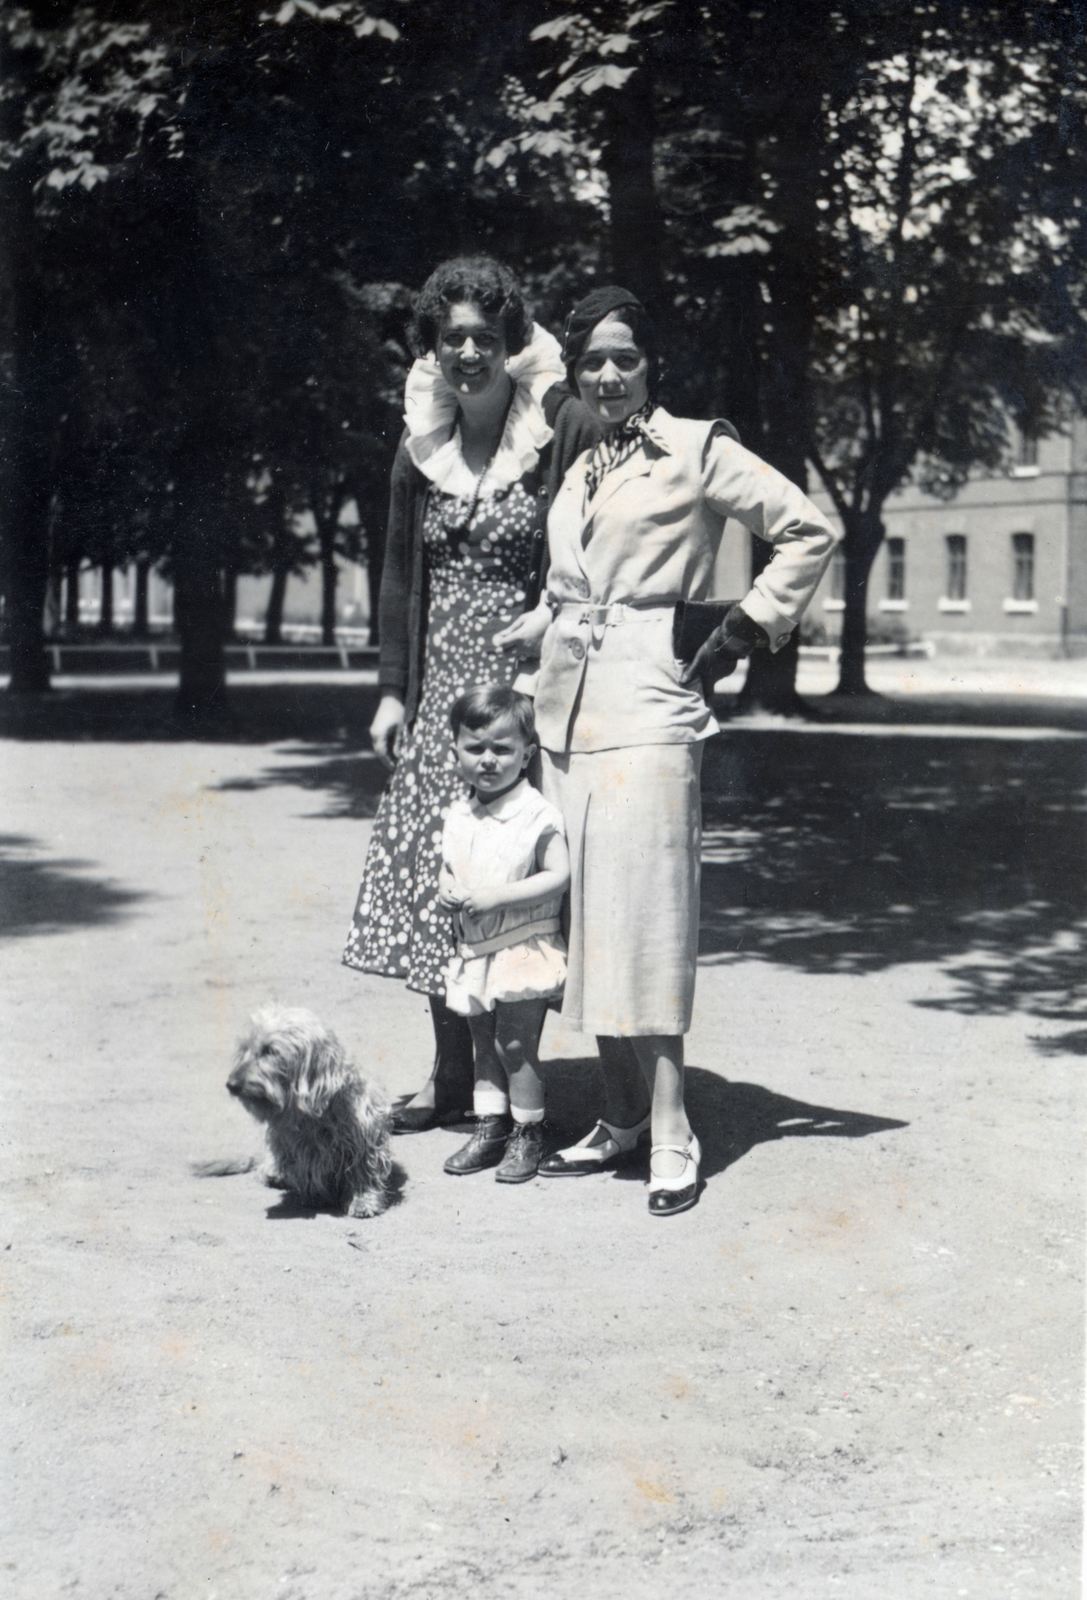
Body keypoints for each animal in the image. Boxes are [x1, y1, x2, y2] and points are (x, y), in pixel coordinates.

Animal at [201, 1004, 393, 1216]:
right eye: (244, 1049)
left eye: (270, 1050)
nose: (231, 1084)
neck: (317, 1114)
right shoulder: (297, 1147)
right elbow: (307, 1171)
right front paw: (314, 1197)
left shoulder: (365, 1140)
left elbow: (364, 1172)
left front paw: (363, 1201)